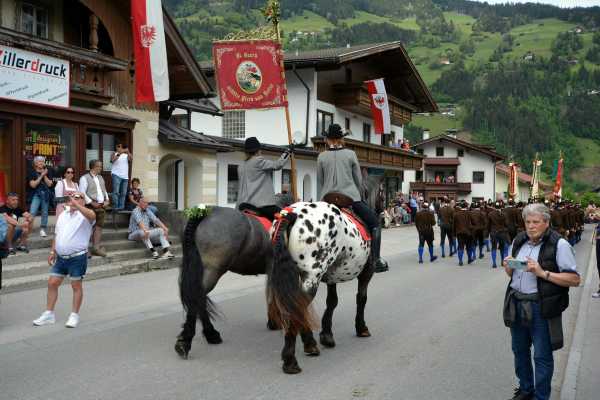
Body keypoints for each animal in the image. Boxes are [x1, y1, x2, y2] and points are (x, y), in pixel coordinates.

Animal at [268, 202, 376, 374]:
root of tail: (292, 214)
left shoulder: (332, 276)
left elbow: (332, 302)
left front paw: (326, 334)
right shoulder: (367, 273)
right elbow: (361, 299)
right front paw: (361, 327)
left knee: (296, 307)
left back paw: (309, 344)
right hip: (312, 276)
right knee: (297, 309)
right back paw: (291, 360)